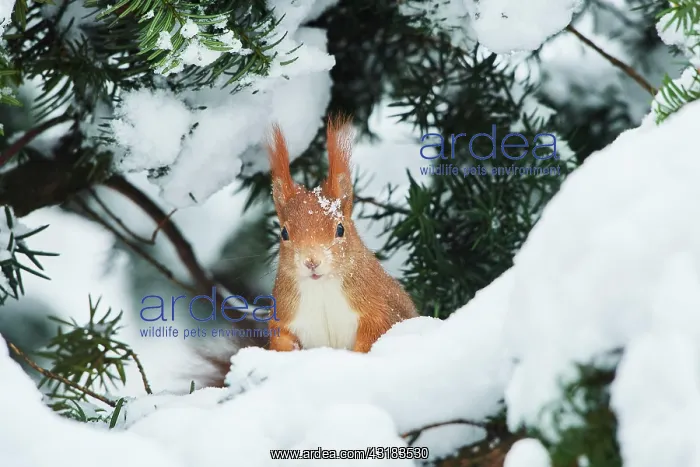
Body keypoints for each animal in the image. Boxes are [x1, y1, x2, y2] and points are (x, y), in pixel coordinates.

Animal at [194, 115, 417, 387]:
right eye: (284, 233)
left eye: (340, 229)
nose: (312, 262)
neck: (320, 288)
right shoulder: (284, 316)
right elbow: (282, 341)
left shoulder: (379, 308)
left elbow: (375, 333)